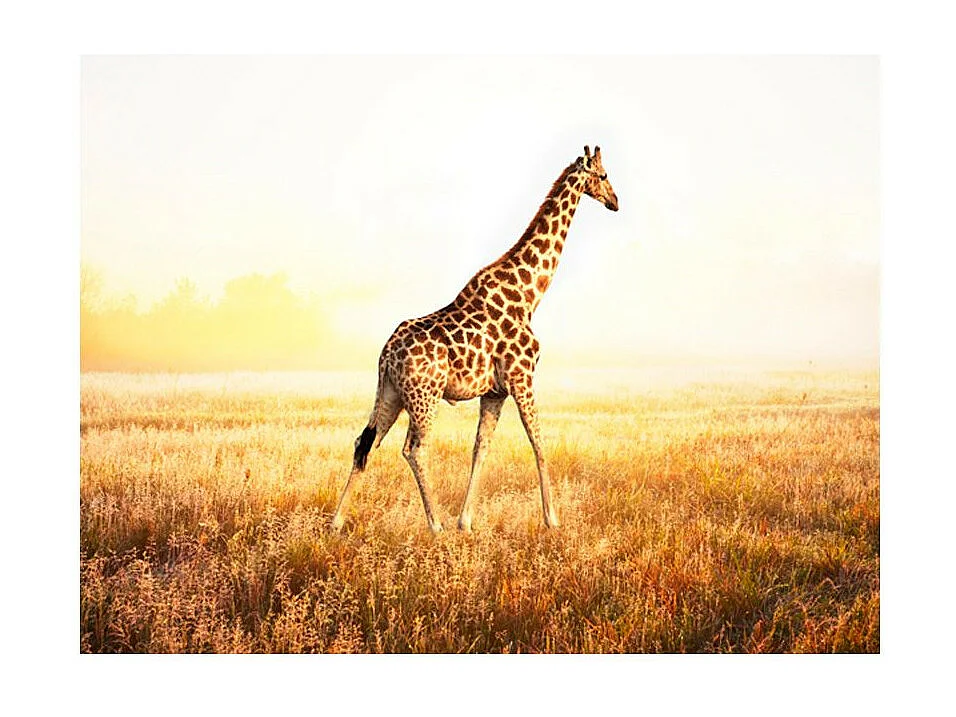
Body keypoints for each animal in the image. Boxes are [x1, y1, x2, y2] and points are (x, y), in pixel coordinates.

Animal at [331, 145, 619, 533]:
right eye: (604, 175)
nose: (615, 201)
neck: (529, 294)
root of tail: (386, 354)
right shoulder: (522, 377)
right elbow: (538, 441)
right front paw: (552, 519)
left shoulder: (495, 390)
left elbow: (480, 447)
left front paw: (466, 521)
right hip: (424, 396)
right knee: (414, 448)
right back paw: (434, 524)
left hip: (390, 392)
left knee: (365, 442)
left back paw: (337, 522)